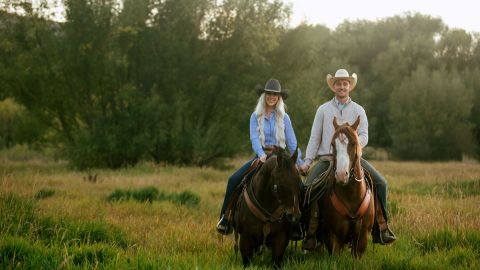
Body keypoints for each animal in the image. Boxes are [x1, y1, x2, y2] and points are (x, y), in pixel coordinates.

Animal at [316, 116, 376, 258]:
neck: (351, 196)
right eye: (333, 144)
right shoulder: (333, 236)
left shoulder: (362, 238)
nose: (342, 175)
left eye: (353, 143)